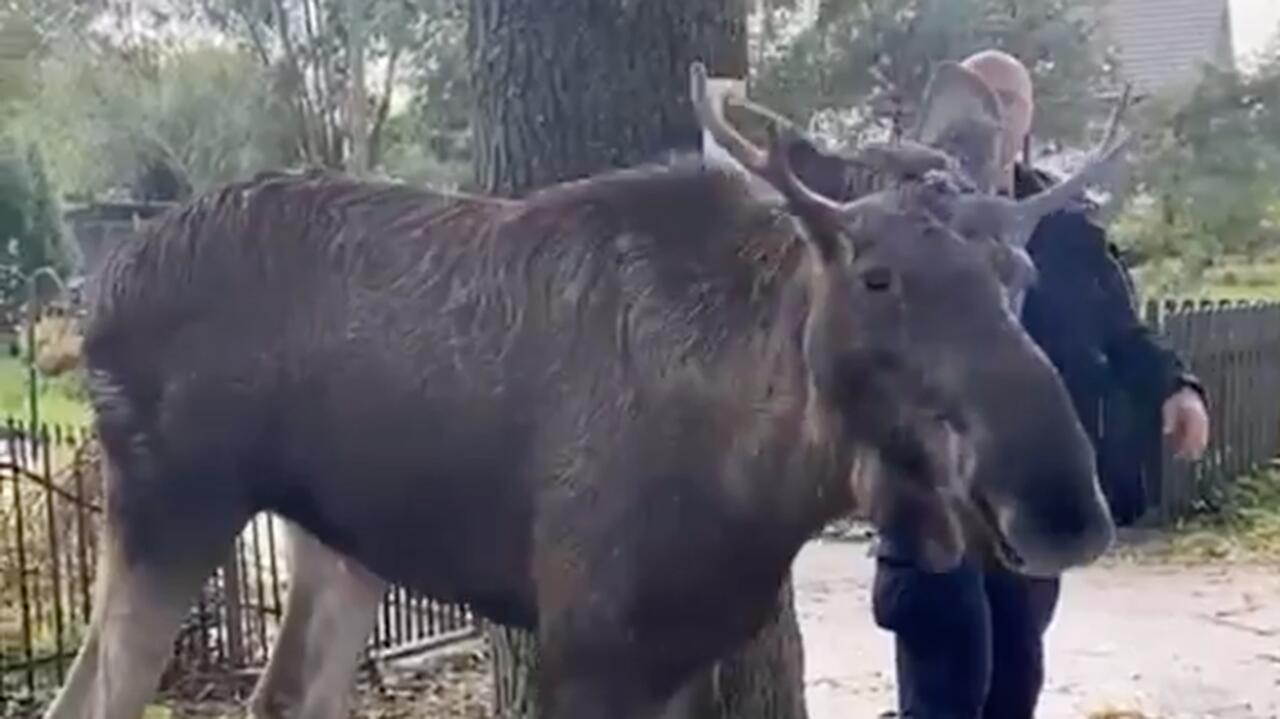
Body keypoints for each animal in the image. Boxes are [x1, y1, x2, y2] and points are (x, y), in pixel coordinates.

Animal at [40, 61, 1126, 716]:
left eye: (1019, 275)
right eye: (875, 276)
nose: (1058, 504)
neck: (767, 474)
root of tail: (93, 293)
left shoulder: (685, 647)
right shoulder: (587, 645)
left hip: (339, 542)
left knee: (283, 693)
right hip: (168, 503)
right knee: (90, 696)